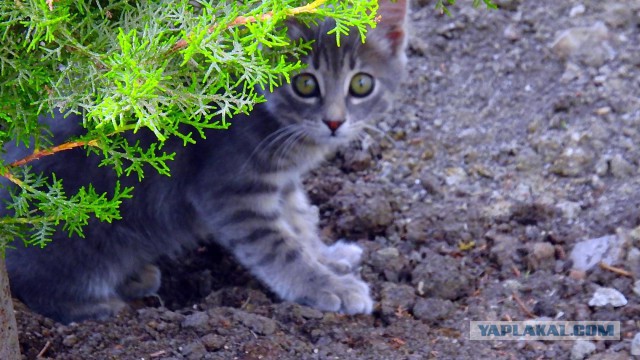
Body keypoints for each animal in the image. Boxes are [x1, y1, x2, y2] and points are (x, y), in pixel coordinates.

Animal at [3, 0, 404, 324]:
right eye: (305, 84)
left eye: (361, 85)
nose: (334, 122)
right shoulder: (229, 192)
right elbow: (280, 248)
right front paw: (326, 284)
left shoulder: (282, 181)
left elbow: (299, 221)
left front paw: (327, 256)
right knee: (37, 280)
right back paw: (95, 307)